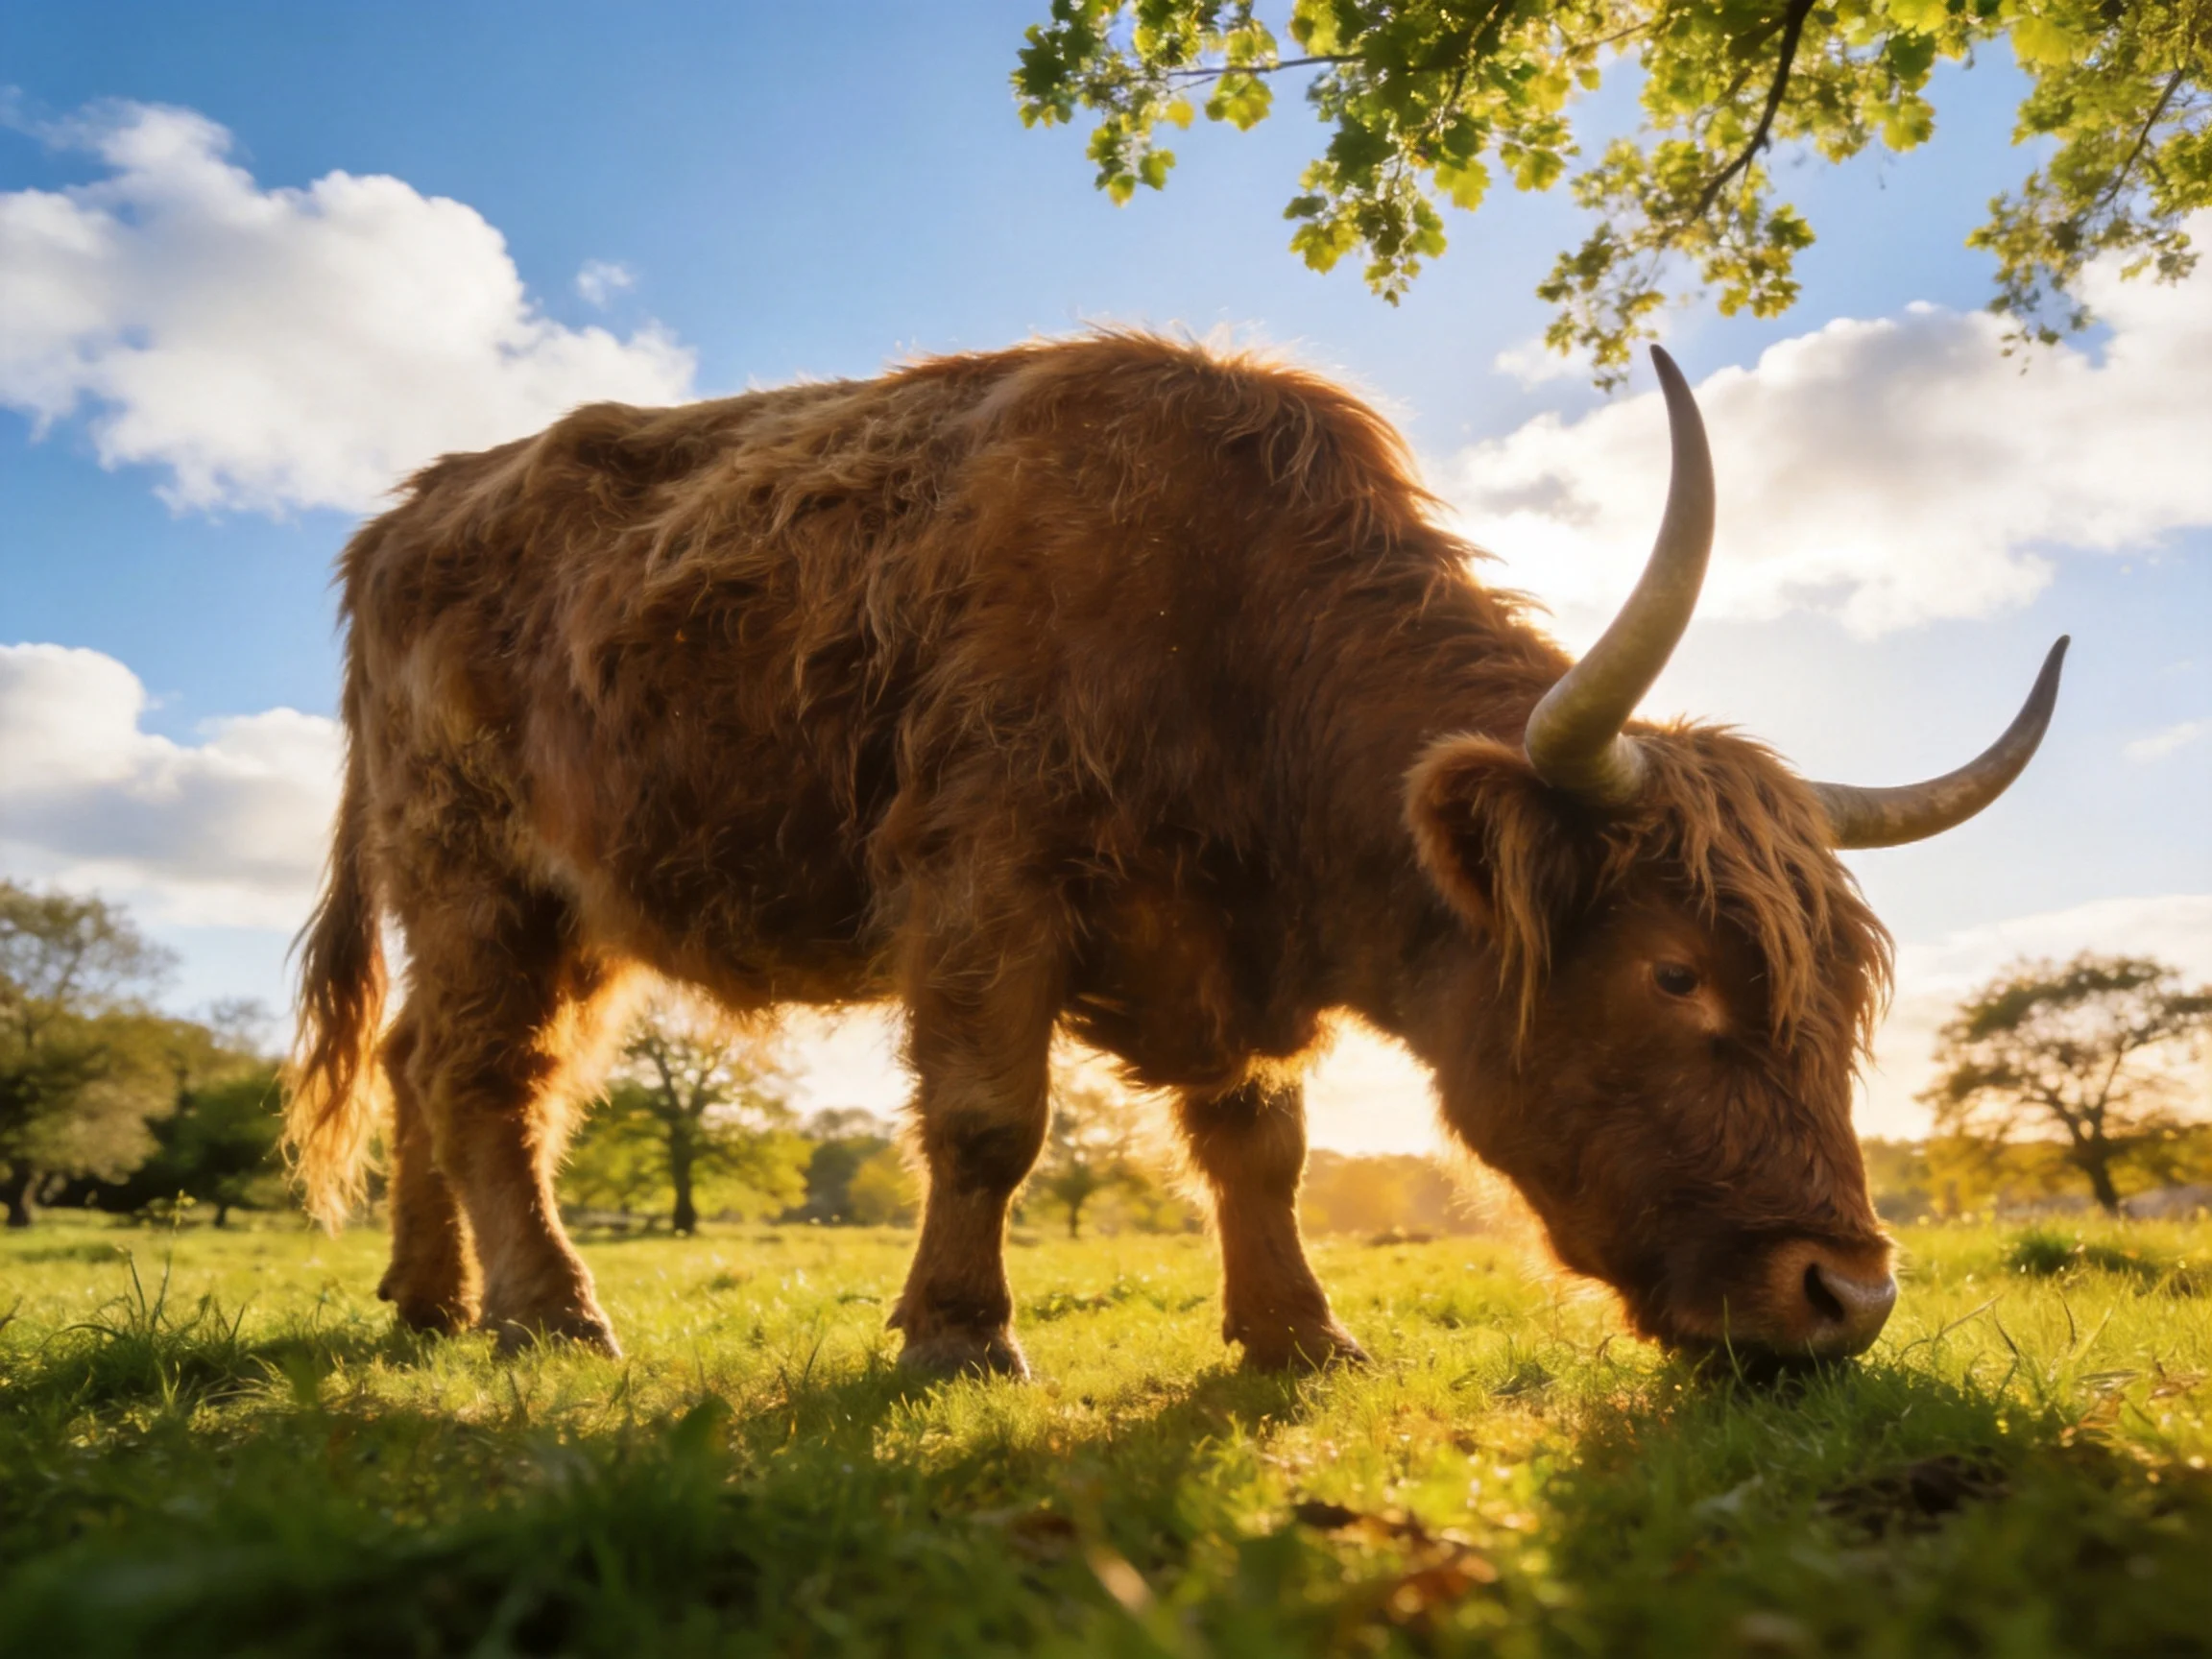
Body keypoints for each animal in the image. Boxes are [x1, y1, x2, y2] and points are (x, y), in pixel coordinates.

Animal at [286, 333, 2064, 1374]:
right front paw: (955, 1334)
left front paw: (1296, 1333)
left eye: (1847, 1004)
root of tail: (405, 517)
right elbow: (993, 1124)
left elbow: (1258, 1141)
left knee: (419, 1063)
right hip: (478, 870)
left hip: (552, 906)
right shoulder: (984, 883)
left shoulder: (1219, 955)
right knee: (482, 1076)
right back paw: (548, 1310)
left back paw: (428, 1298)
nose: (1847, 1296)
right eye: (1674, 972)